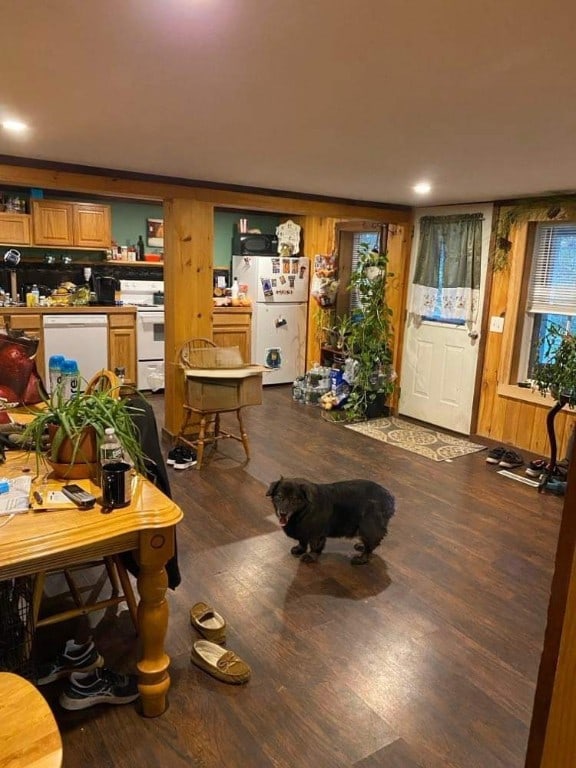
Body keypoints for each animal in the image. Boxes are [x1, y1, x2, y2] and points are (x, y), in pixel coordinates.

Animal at [266, 474, 396, 564]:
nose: (283, 513)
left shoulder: (316, 534)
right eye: (279, 497)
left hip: (368, 528)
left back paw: (361, 559)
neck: (303, 511)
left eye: (294, 499)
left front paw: (311, 556)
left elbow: (314, 547)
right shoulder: (303, 532)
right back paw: (362, 546)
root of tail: (390, 498)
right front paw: (300, 549)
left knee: (371, 544)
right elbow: (302, 541)